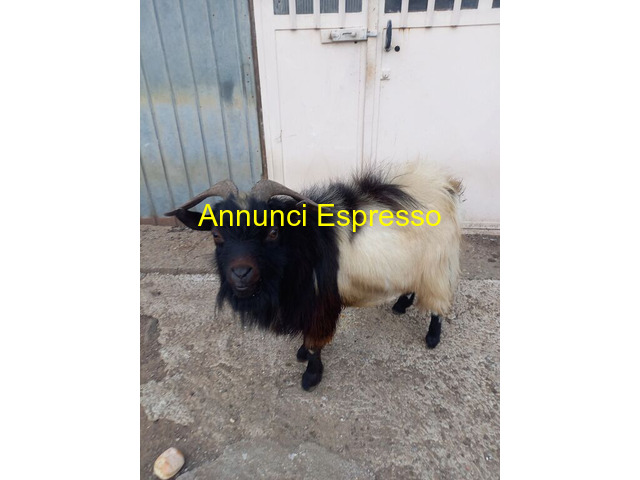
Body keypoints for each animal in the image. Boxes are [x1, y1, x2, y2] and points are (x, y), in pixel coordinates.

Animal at [165, 162, 462, 391]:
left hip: (437, 265)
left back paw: (432, 337)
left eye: (273, 232)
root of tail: (443, 185)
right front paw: (300, 353)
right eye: (216, 234)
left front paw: (311, 376)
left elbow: (315, 342)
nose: (240, 273)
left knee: (439, 303)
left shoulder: (320, 303)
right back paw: (401, 304)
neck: (298, 249)